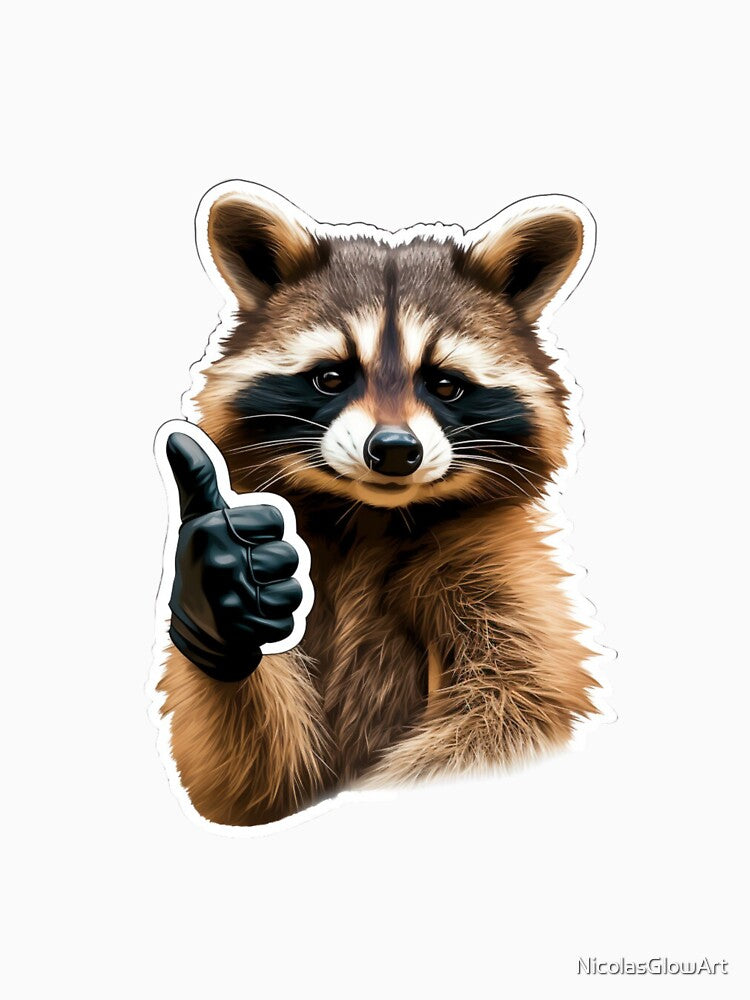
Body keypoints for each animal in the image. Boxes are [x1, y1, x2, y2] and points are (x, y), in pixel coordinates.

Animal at [157, 181, 600, 827]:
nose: (393, 451)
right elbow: (250, 785)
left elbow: (519, 704)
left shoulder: (496, 562)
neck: (370, 518)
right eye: (331, 377)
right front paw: (222, 607)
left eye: (444, 384)